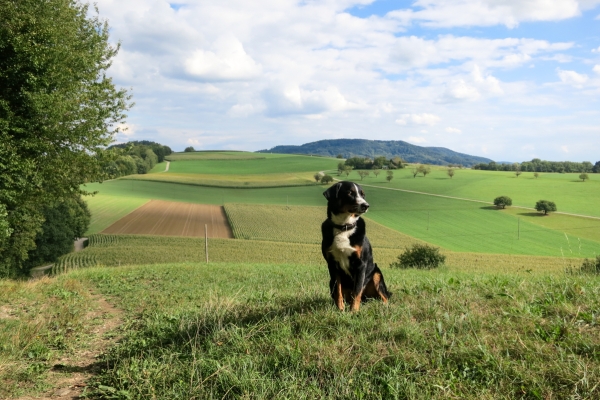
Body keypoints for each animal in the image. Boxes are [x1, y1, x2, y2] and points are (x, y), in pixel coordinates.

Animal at [322, 180, 392, 310]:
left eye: (363, 195)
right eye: (350, 192)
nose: (366, 205)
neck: (344, 226)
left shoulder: (360, 264)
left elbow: (357, 290)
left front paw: (354, 311)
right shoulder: (333, 264)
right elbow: (338, 291)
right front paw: (340, 309)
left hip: (376, 274)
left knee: (384, 296)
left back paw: (383, 306)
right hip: (330, 282)